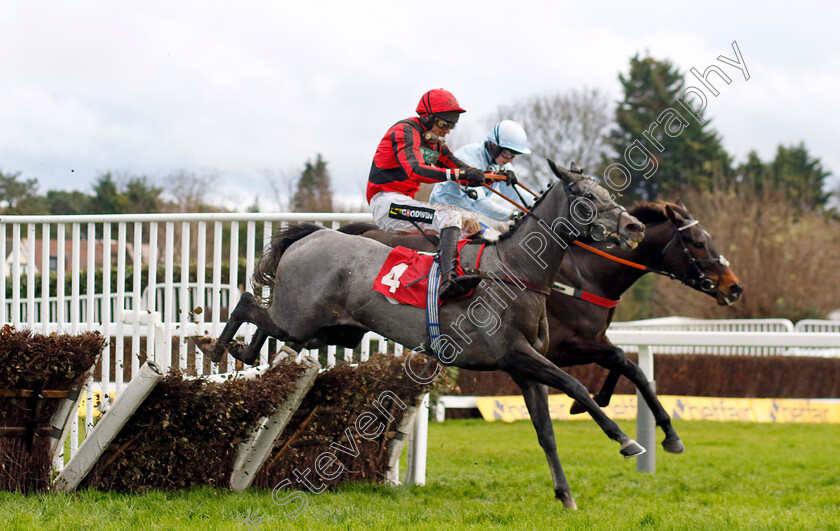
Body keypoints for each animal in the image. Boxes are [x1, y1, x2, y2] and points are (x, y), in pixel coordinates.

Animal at [213, 160, 648, 510]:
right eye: (586, 196)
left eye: (608, 193)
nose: (635, 225)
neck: (516, 271)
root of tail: (313, 234)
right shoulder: (515, 354)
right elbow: (576, 386)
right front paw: (627, 441)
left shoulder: (526, 370)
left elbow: (547, 433)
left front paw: (565, 495)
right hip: (298, 318)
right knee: (248, 304)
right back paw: (219, 348)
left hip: (330, 332)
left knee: (268, 331)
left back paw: (244, 353)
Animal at [340, 200, 740, 454]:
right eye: (698, 242)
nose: (734, 287)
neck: (586, 276)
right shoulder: (566, 347)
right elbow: (624, 360)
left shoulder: (588, 340)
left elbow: (630, 366)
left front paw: (604, 405)